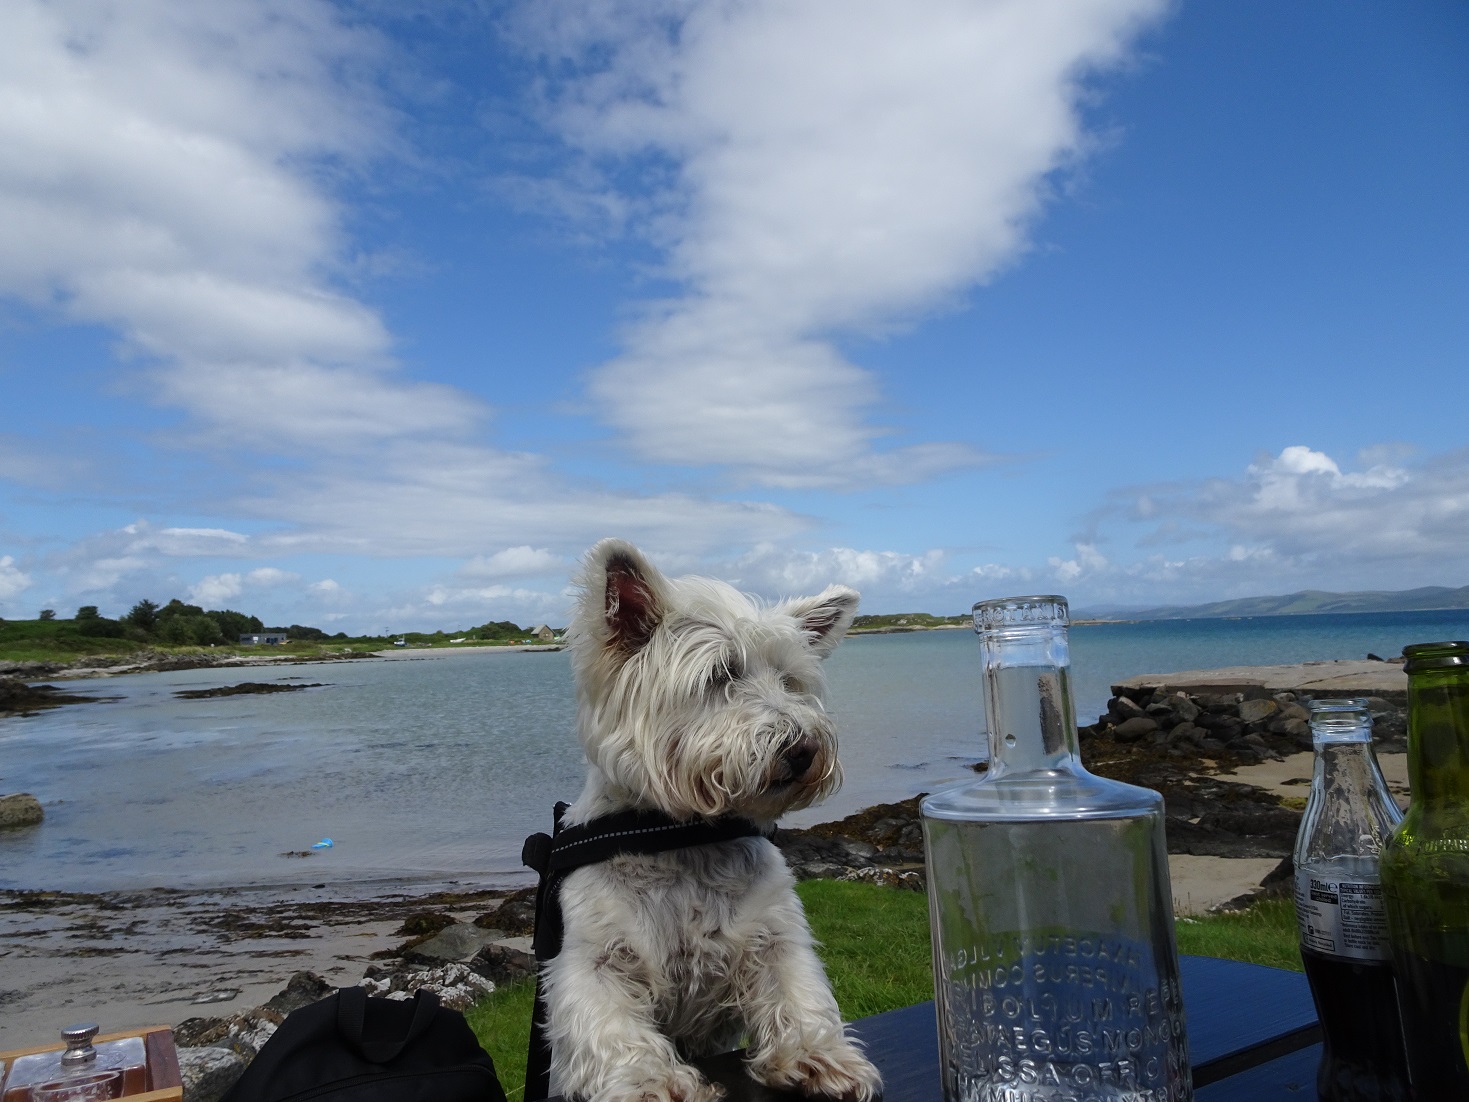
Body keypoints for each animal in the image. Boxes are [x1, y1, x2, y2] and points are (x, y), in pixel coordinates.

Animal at [543, 540, 875, 1102]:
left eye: (790, 681)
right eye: (721, 675)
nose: (805, 749)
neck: (683, 836)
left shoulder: (774, 934)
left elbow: (797, 989)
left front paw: (817, 1055)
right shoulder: (593, 957)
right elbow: (610, 1024)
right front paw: (651, 1082)